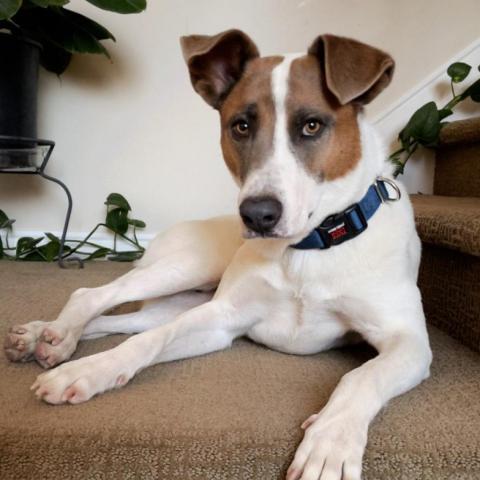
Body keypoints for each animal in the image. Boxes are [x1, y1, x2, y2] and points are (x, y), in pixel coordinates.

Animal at [3, 29, 432, 480]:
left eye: (312, 125)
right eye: (240, 126)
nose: (258, 215)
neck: (310, 245)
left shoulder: (409, 342)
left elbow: (361, 377)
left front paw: (330, 443)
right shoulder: (223, 318)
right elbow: (148, 341)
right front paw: (88, 370)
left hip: (180, 296)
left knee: (123, 321)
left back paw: (43, 338)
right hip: (188, 268)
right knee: (94, 296)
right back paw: (54, 335)